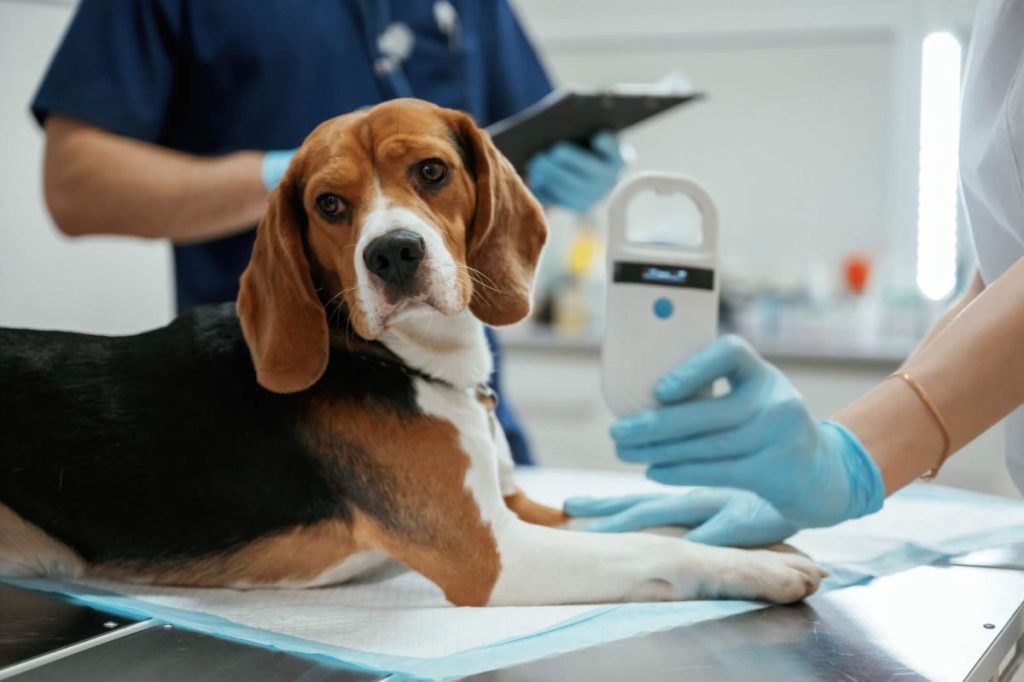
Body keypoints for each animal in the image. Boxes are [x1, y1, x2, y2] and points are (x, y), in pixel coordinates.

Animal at [0, 98, 823, 602]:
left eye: (432, 171)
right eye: (329, 205)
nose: (392, 252)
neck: (415, 364)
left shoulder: (515, 509)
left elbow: (647, 524)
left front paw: (762, 542)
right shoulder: (492, 554)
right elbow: (651, 550)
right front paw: (753, 568)